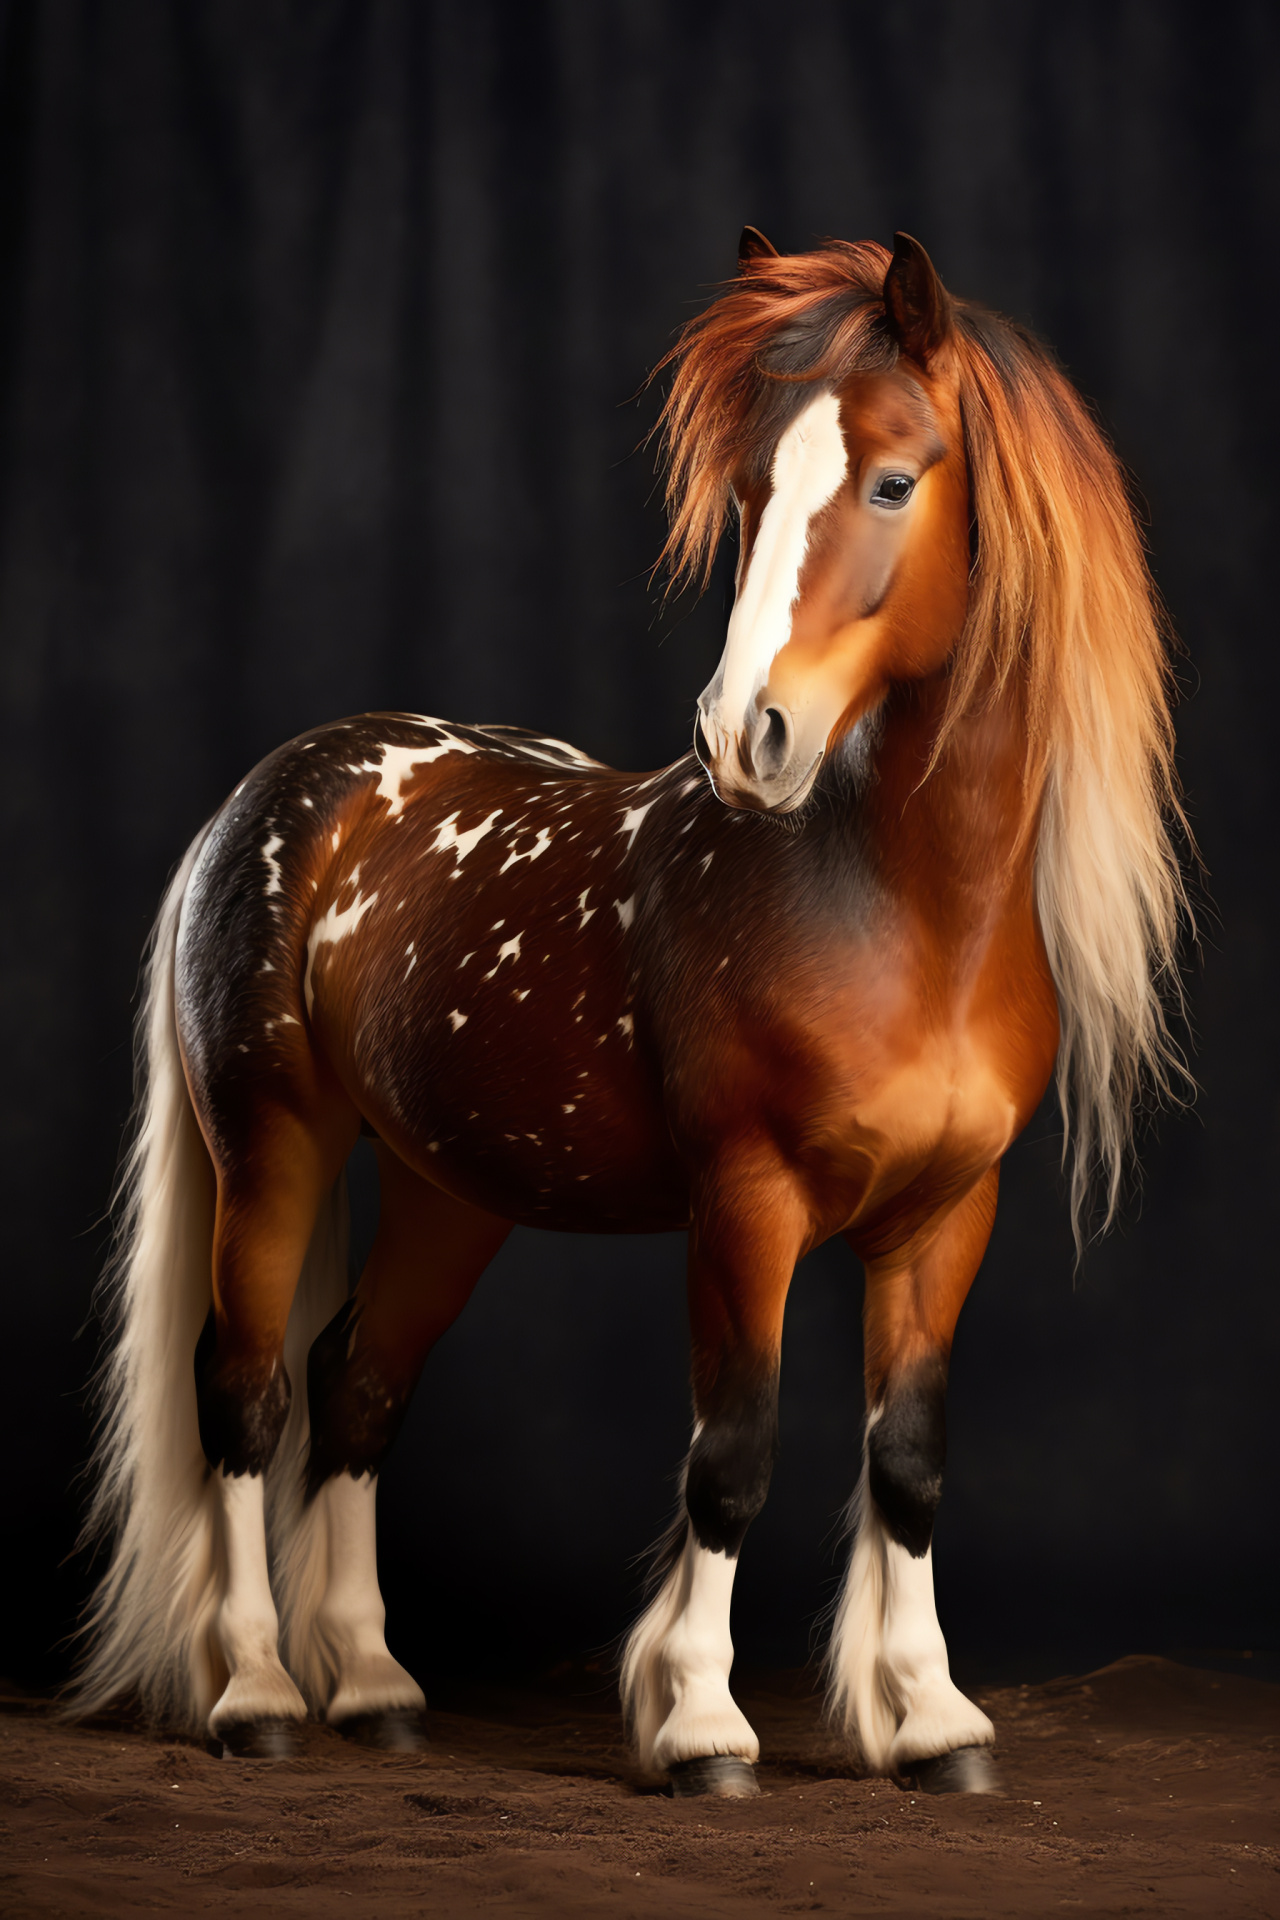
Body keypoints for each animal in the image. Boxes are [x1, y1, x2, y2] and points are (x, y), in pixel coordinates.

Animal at [72, 228, 1182, 1797]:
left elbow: (907, 1459)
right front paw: (701, 1721)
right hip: (269, 1145)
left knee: (358, 1383)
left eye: (893, 482)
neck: (902, 912)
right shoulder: (745, 1205)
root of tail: (276, 788)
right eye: (755, 493)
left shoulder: (947, 1214)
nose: (743, 738)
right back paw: (258, 1692)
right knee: (242, 1393)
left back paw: (373, 1683)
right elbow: (733, 1452)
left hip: (450, 1191)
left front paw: (932, 1719)